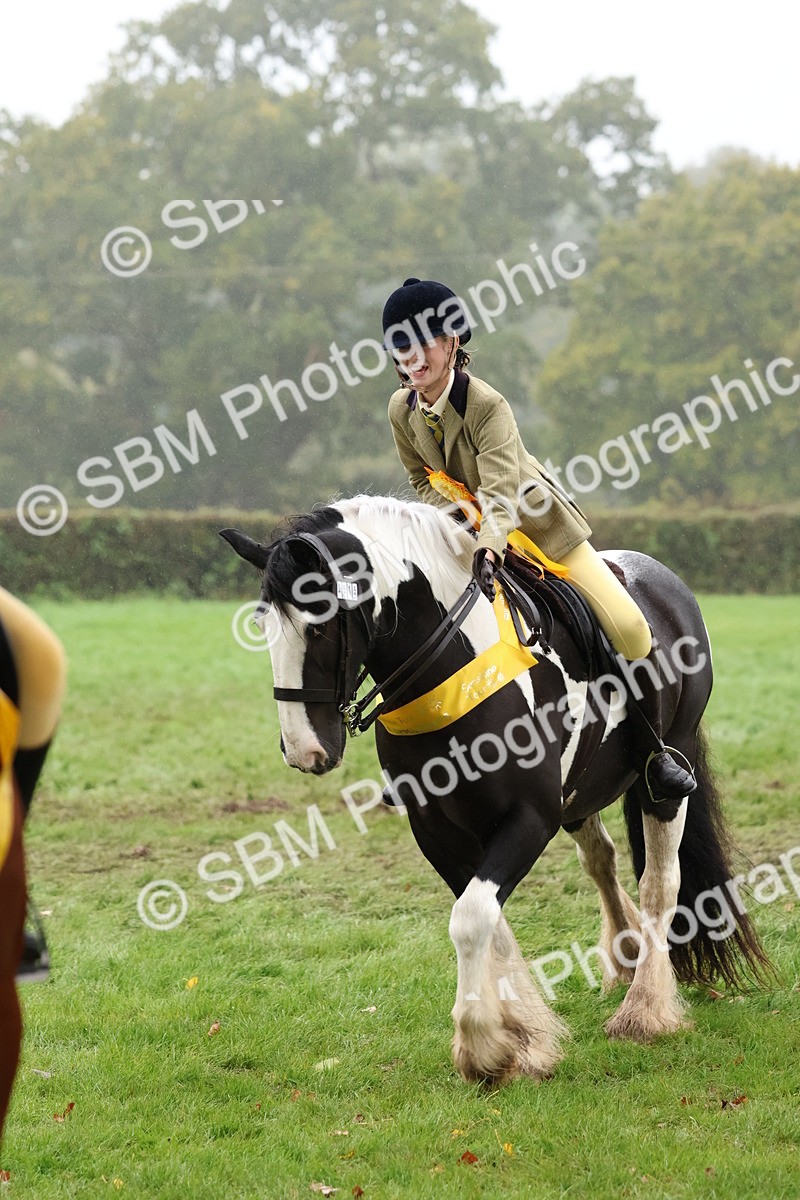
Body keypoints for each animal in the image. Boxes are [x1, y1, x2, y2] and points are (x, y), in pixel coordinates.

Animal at [221, 494, 771, 1085]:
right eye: (263, 626)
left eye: (320, 628)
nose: (303, 750)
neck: (451, 668)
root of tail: (665, 581)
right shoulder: (435, 828)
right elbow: (486, 918)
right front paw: (521, 1039)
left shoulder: (529, 819)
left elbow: (472, 918)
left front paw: (482, 1047)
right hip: (579, 798)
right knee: (600, 860)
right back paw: (624, 959)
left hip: (669, 768)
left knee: (660, 882)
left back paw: (644, 1009)